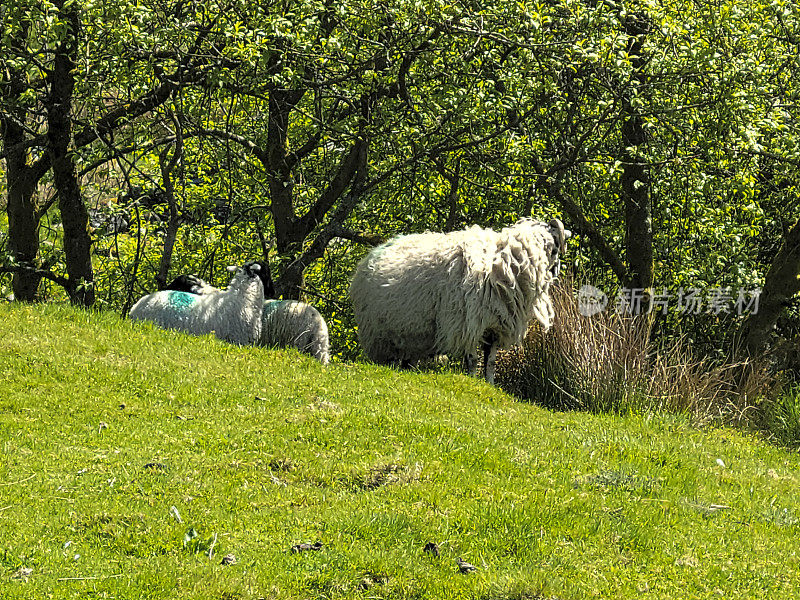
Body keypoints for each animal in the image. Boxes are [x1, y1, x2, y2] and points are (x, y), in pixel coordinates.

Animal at [348, 218, 568, 382]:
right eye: (555, 248)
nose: (557, 273)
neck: (503, 264)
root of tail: (370, 255)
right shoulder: (467, 323)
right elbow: (472, 359)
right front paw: (472, 380)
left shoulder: (495, 326)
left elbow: (490, 362)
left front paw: (489, 384)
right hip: (382, 334)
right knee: (391, 357)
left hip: (412, 334)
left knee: (408, 358)